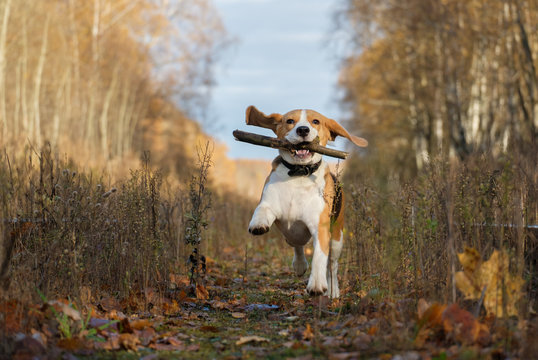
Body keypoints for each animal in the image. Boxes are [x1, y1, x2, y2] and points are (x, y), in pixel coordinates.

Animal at [245, 105, 366, 296]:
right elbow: (262, 209)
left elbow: (319, 257)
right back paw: (300, 264)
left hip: (337, 238)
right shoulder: (269, 203)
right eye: (289, 121)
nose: (303, 130)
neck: (299, 174)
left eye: (315, 121)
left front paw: (316, 284)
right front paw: (258, 223)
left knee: (332, 265)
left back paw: (332, 291)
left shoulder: (320, 227)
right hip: (292, 235)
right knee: (297, 244)